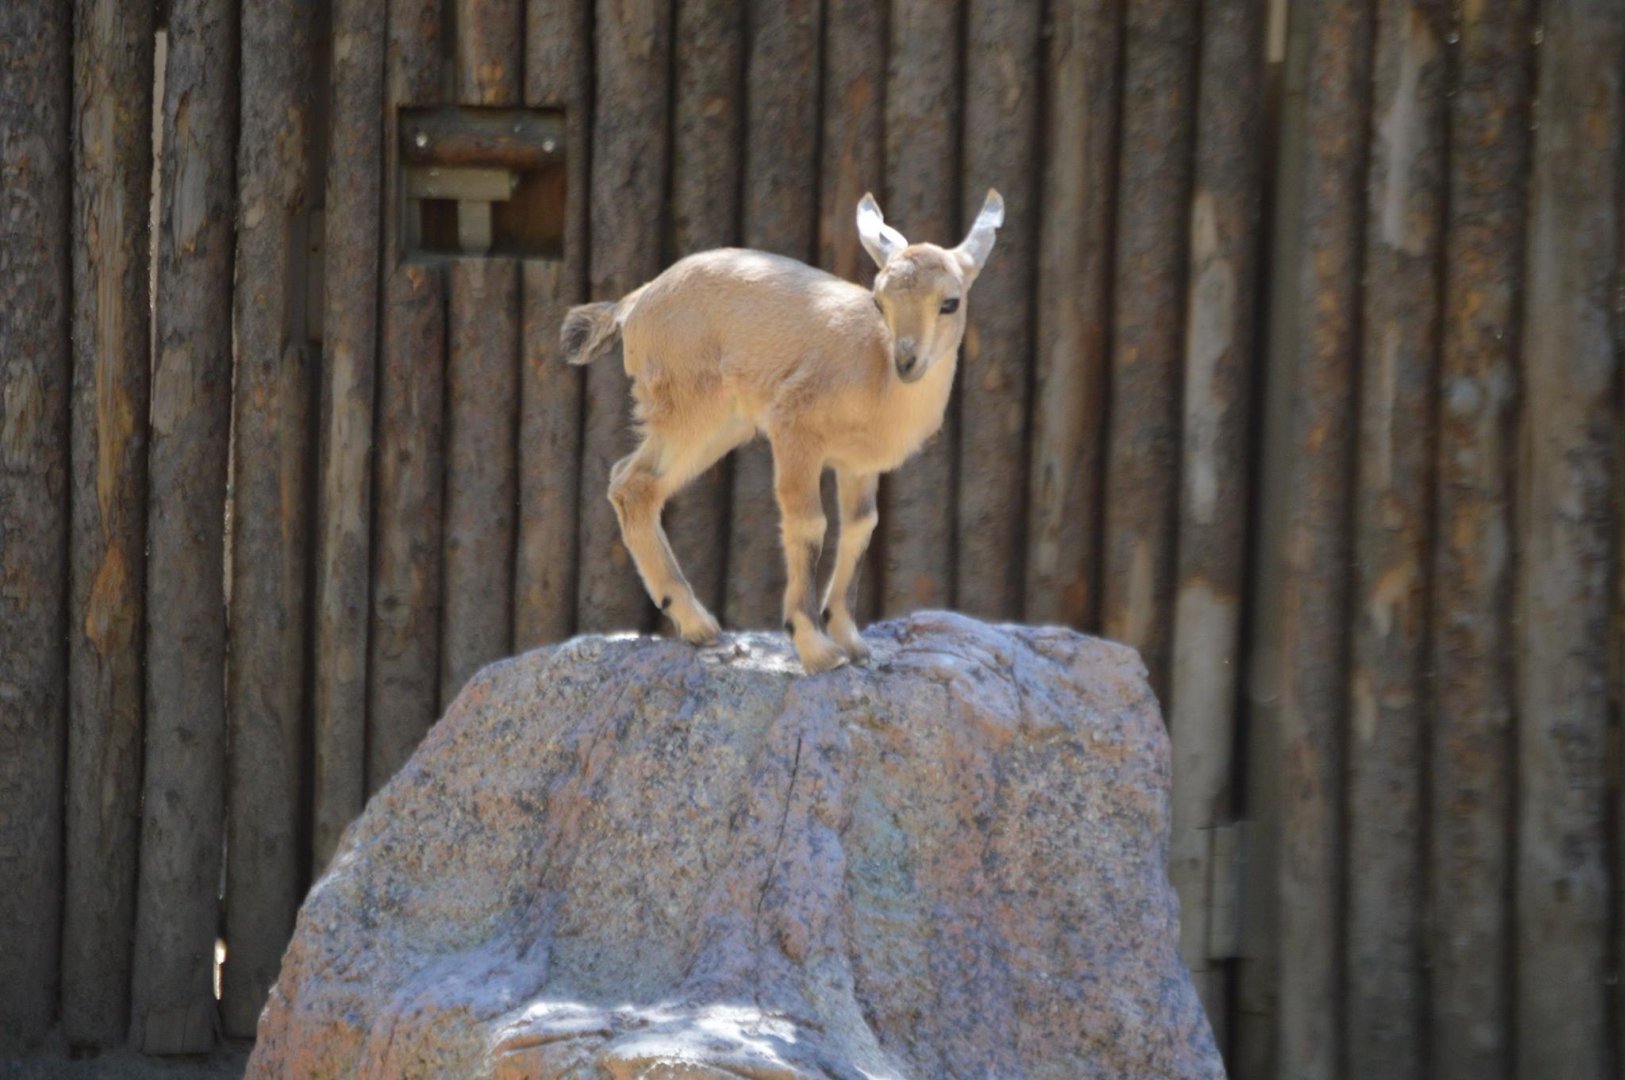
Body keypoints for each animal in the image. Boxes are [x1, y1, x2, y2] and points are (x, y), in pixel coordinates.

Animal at [560, 189, 1004, 672]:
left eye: (950, 301)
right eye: (878, 301)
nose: (907, 361)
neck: (877, 377)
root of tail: (634, 304)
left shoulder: (858, 464)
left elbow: (860, 526)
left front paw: (852, 642)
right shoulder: (795, 434)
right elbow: (809, 523)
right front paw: (817, 649)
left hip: (719, 426)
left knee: (631, 480)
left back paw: (696, 624)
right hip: (693, 412)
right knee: (634, 485)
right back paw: (698, 623)